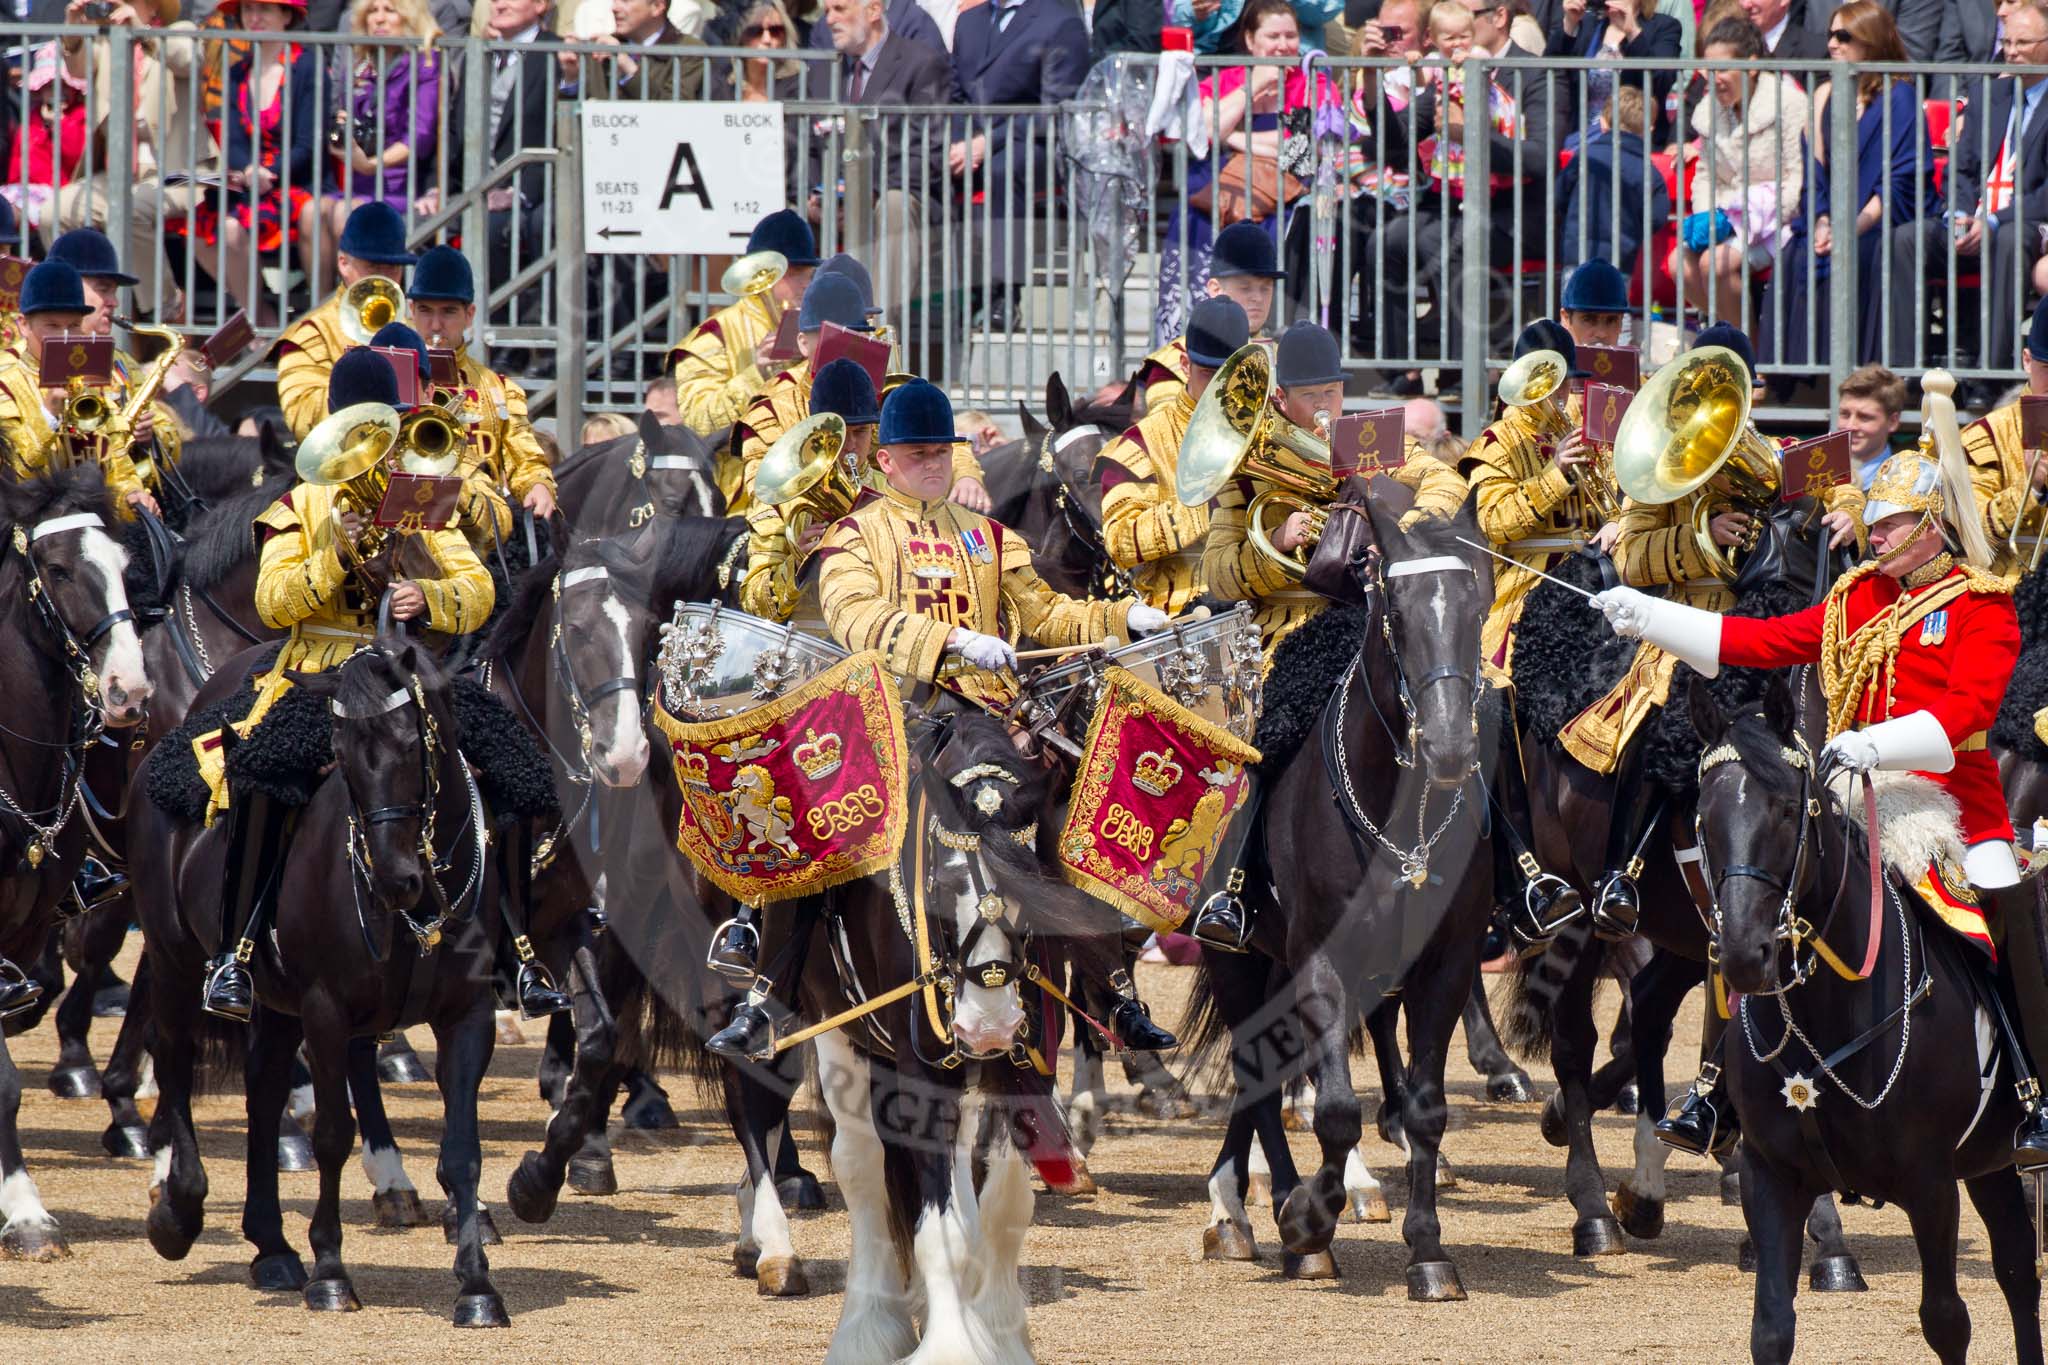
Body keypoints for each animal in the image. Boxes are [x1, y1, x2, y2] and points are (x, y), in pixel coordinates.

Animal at [129, 640, 510, 1322]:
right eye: (339, 752)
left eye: (411, 742)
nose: (393, 879)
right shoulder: (327, 1010)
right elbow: (333, 1135)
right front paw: (331, 1272)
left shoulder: (468, 1015)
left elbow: (463, 1151)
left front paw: (477, 1286)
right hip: (174, 959)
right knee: (174, 1063)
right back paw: (179, 1211)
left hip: (274, 1004)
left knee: (261, 1090)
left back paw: (273, 1249)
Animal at [1180, 483, 1494, 1296]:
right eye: (1397, 614)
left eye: (1478, 606)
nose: (1449, 746)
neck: (1401, 817)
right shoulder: (1324, 960)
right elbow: (1337, 1112)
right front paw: (1306, 1219)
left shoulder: (1445, 964)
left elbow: (1424, 1108)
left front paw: (1429, 1251)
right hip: (1235, 954)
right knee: (1257, 1073)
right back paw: (1257, 1210)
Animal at [1693, 670, 2043, 1365]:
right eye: (1703, 816)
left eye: (1788, 809)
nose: (1745, 955)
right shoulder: (1770, 1177)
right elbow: (1771, 1327)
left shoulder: (1931, 1185)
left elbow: (1946, 1321)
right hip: (1992, 1161)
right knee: (2019, 1268)